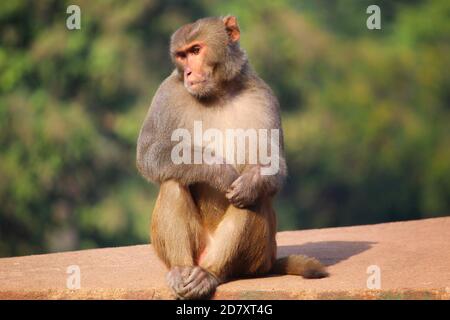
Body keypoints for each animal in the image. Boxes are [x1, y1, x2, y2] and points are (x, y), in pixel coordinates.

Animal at [137, 15, 326, 300]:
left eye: (196, 50)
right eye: (181, 56)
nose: (189, 73)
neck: (219, 93)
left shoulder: (264, 97)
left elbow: (272, 165)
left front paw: (249, 182)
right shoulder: (167, 92)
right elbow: (149, 153)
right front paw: (219, 172)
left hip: (257, 258)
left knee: (251, 200)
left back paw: (210, 273)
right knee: (173, 182)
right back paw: (182, 270)